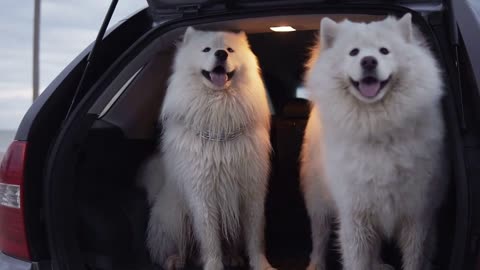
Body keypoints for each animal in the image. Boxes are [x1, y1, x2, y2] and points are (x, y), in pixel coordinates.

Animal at [139, 27, 274, 270]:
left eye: (230, 49)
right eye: (206, 49)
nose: (221, 54)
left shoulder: (252, 190)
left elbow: (255, 237)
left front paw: (261, 265)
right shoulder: (203, 195)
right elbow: (210, 240)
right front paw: (213, 265)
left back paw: (232, 256)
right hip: (175, 215)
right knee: (173, 246)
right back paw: (174, 259)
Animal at [302, 14, 448, 270]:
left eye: (384, 51)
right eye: (353, 52)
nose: (369, 61)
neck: (377, 127)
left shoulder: (417, 214)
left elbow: (416, 257)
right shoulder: (355, 215)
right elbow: (357, 259)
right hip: (318, 199)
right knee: (319, 235)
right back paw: (316, 264)